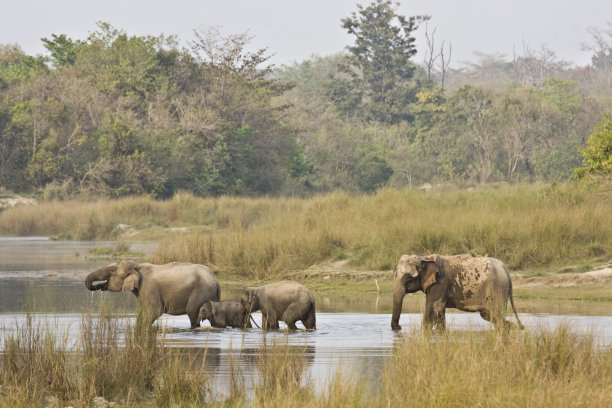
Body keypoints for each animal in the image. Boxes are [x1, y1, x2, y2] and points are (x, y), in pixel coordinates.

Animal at [392, 255, 520, 332]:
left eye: (409, 279)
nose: (399, 327)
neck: (425, 258)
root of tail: (506, 269)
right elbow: (439, 310)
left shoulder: (440, 283)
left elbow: (432, 307)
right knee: (489, 315)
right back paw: (513, 328)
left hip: (497, 289)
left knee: (495, 314)